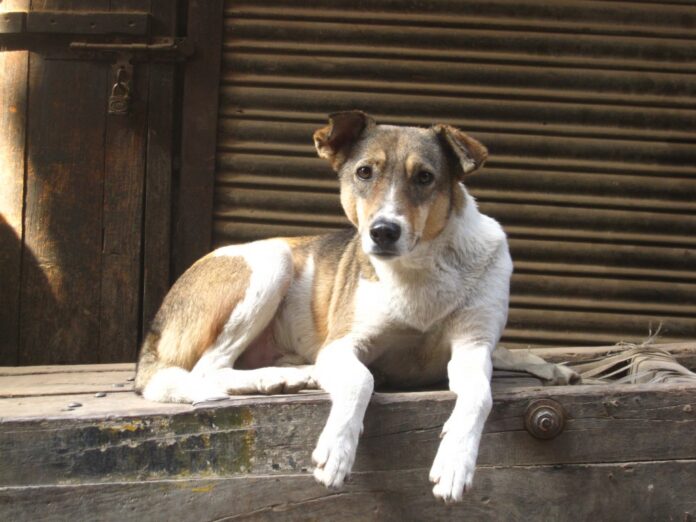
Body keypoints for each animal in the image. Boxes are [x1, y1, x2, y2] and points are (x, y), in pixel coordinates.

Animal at [133, 111, 580, 502]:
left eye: (425, 177)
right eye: (364, 172)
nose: (383, 231)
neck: (420, 267)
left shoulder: (472, 347)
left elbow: (480, 393)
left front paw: (456, 462)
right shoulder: (342, 346)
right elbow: (362, 380)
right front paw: (337, 449)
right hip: (272, 259)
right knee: (206, 369)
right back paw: (278, 378)